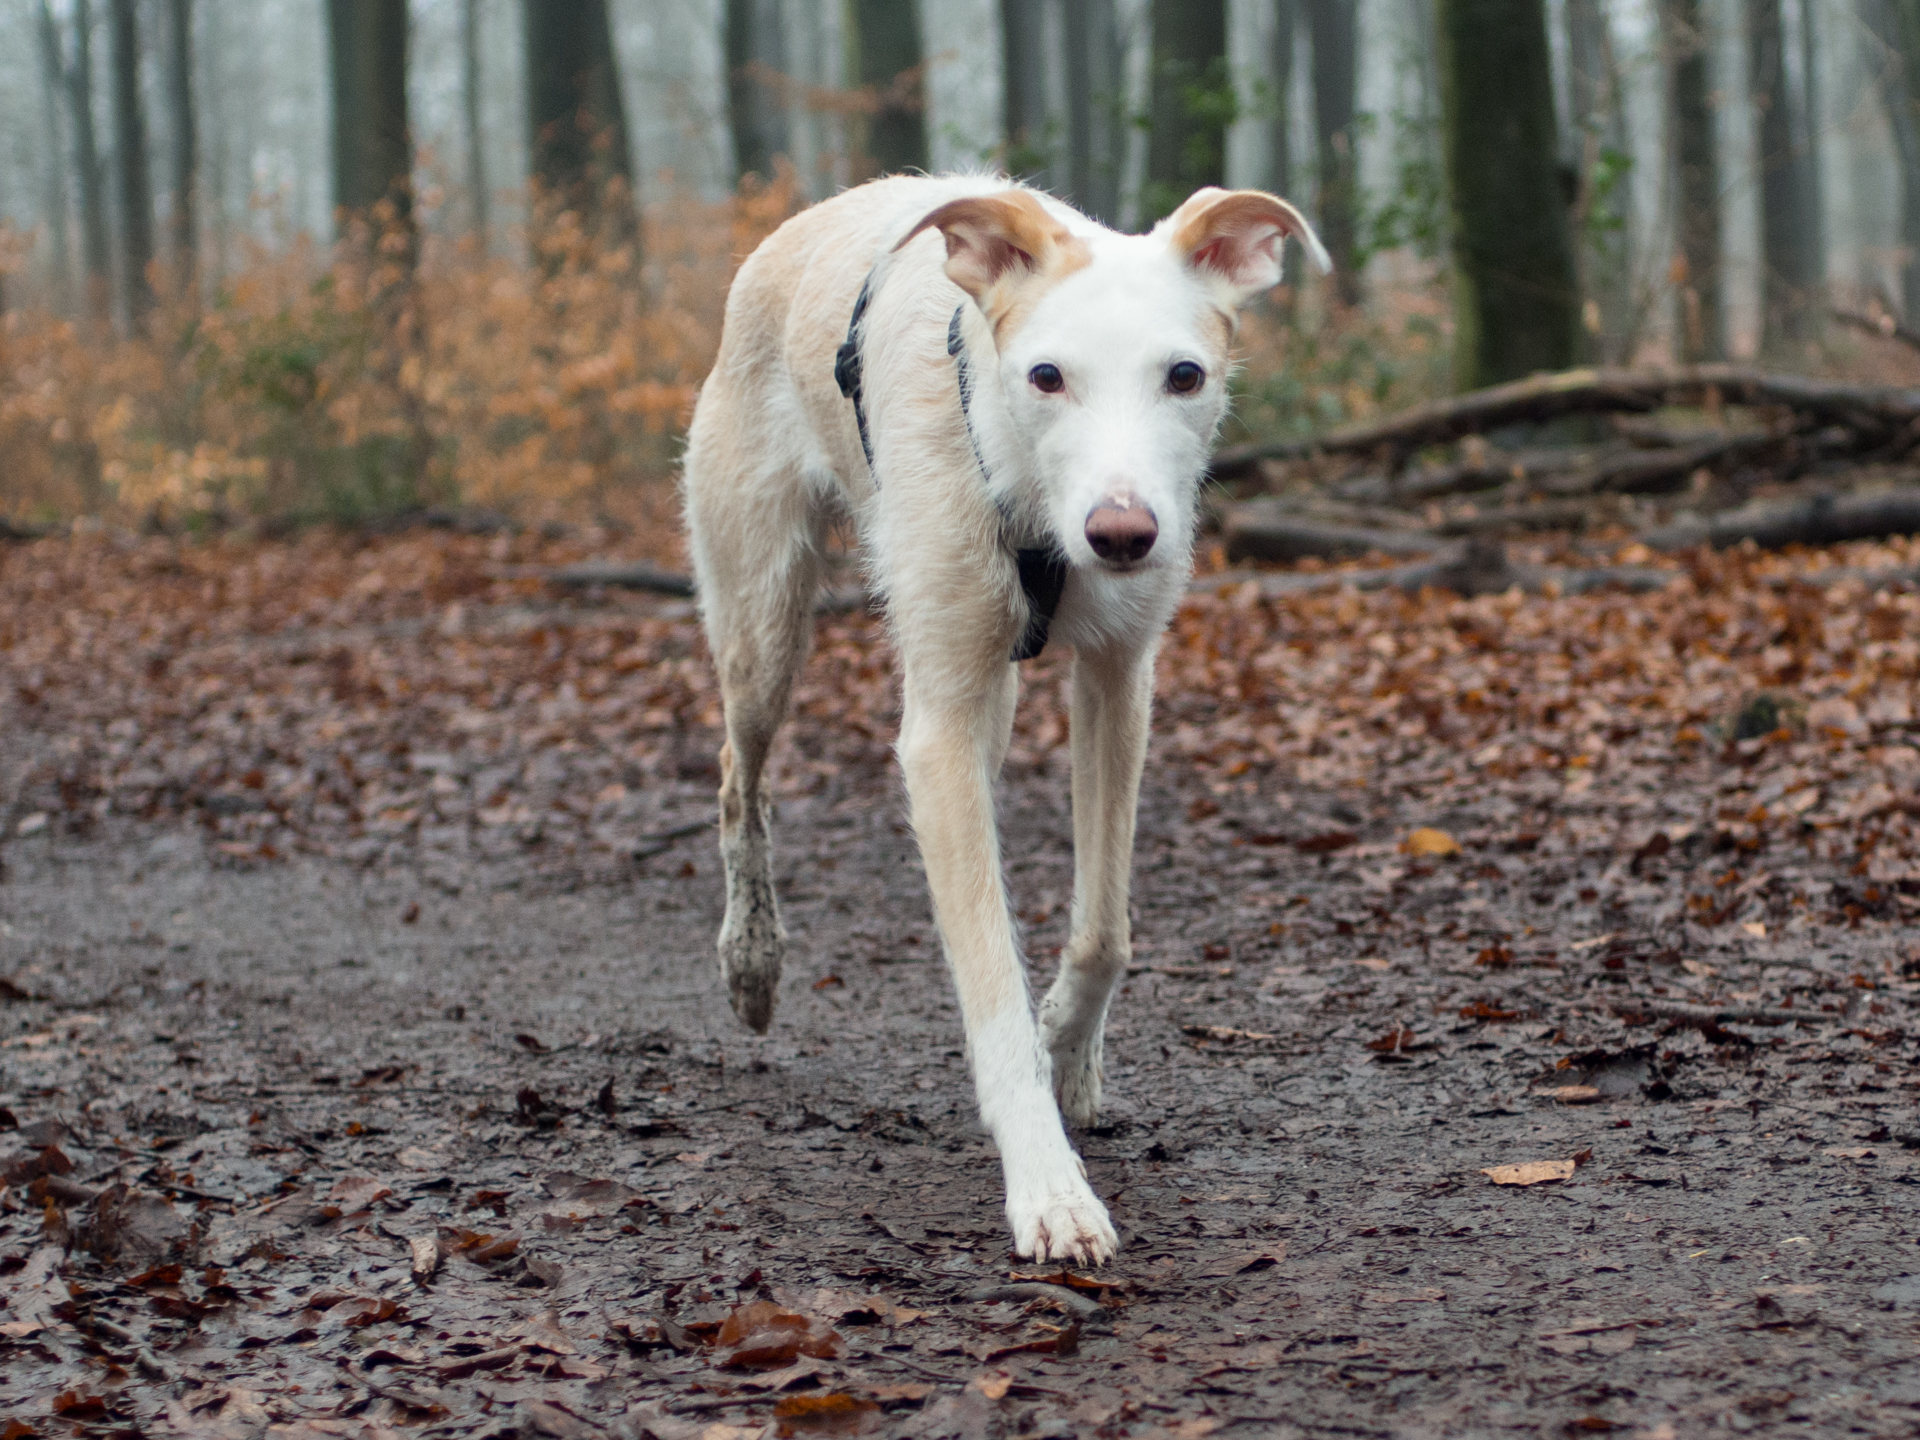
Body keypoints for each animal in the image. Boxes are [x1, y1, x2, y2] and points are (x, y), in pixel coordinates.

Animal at [683, 174, 1328, 1267]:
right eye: (1047, 376)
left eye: (1185, 375)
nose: (1123, 534)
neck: (1031, 489)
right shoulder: (935, 727)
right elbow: (989, 983)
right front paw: (1049, 1187)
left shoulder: (1119, 679)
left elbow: (1102, 931)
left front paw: (1067, 1045)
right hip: (765, 622)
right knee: (740, 779)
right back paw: (751, 960)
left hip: (994, 690)